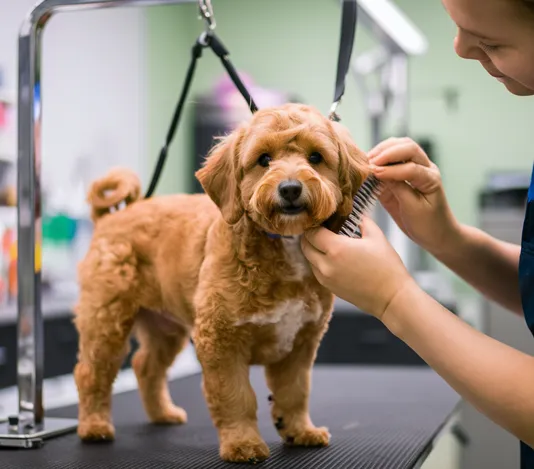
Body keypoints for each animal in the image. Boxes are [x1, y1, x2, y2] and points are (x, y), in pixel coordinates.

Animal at [73, 101, 370, 460]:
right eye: (264, 159)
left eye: (316, 157)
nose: (290, 188)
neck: (283, 243)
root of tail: (112, 216)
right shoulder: (220, 341)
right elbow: (235, 396)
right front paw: (243, 443)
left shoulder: (300, 344)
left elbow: (294, 393)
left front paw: (300, 430)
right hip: (106, 321)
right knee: (92, 373)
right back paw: (94, 426)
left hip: (165, 329)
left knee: (146, 366)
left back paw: (162, 413)